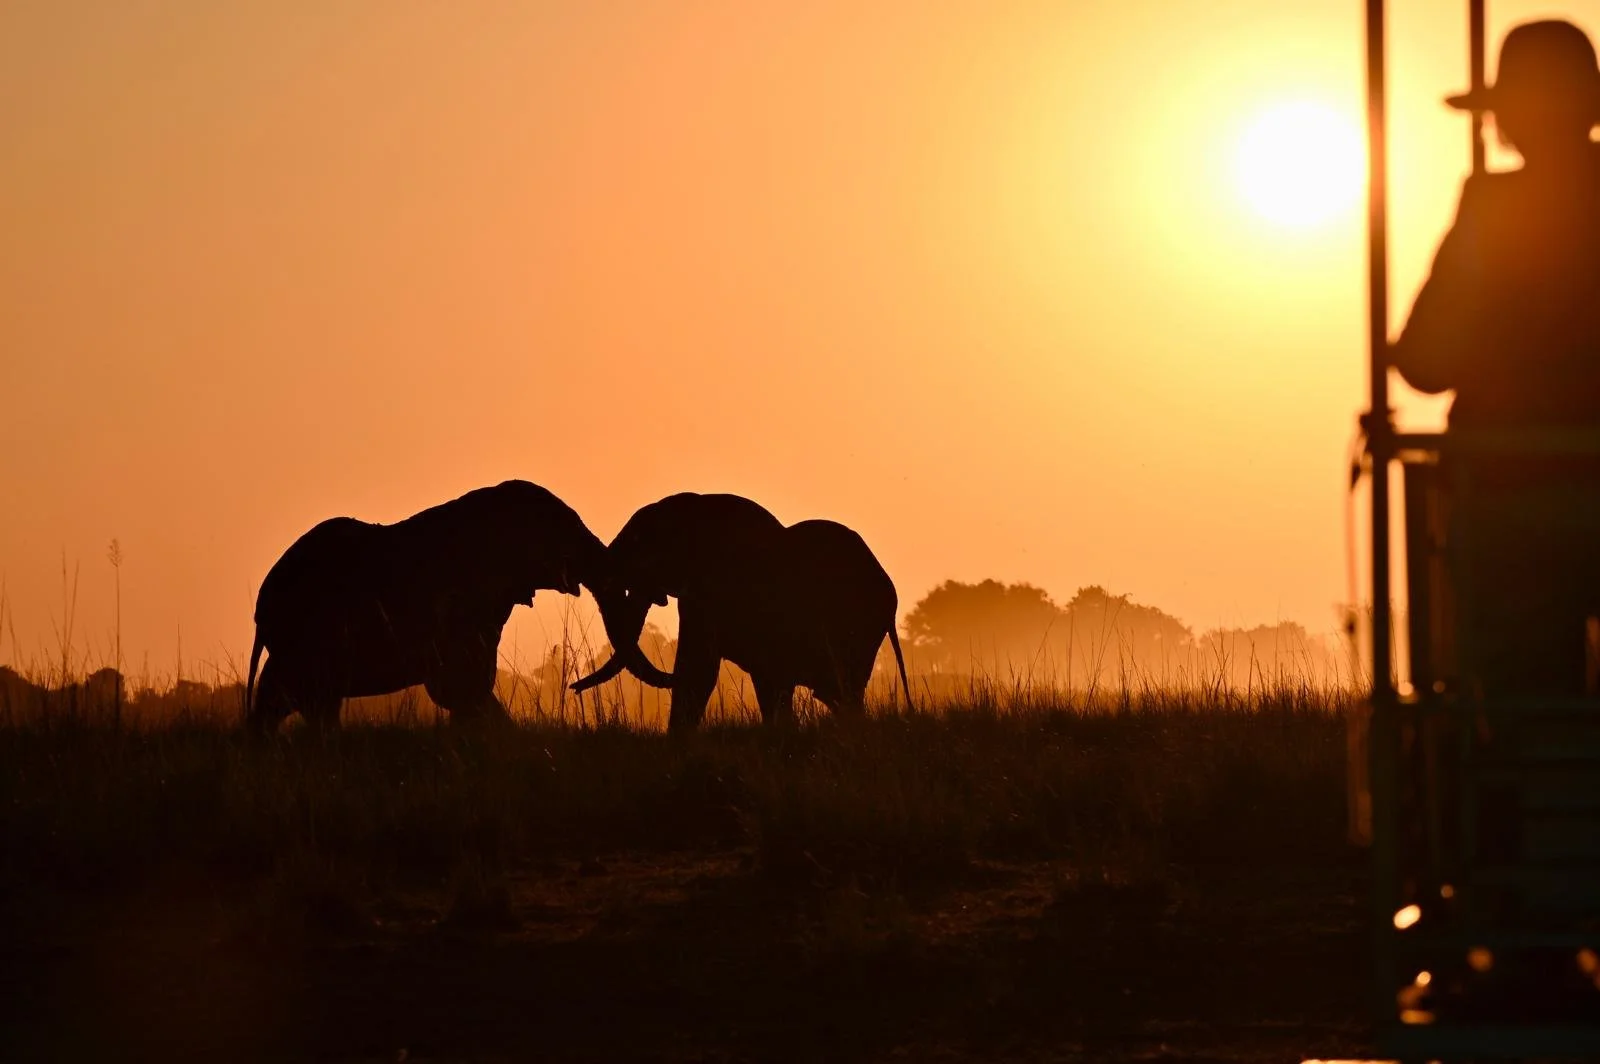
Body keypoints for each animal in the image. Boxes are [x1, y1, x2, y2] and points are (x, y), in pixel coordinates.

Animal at [244, 480, 666, 734]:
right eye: (563, 534)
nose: (573, 687)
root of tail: (262, 604)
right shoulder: (460, 603)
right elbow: (460, 685)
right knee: (312, 698)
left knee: (283, 695)